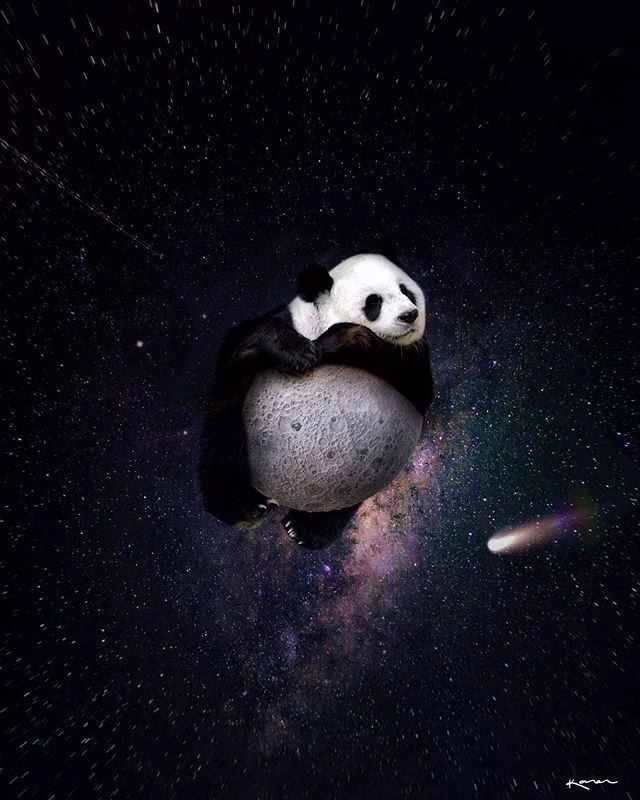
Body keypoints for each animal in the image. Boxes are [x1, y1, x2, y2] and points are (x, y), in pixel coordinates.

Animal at [199, 246, 434, 548]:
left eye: (406, 291)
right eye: (374, 302)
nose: (409, 315)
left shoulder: (413, 362)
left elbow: (418, 385)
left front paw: (346, 339)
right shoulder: (284, 324)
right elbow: (240, 345)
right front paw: (302, 352)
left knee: (340, 497)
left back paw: (303, 530)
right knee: (221, 448)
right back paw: (245, 508)